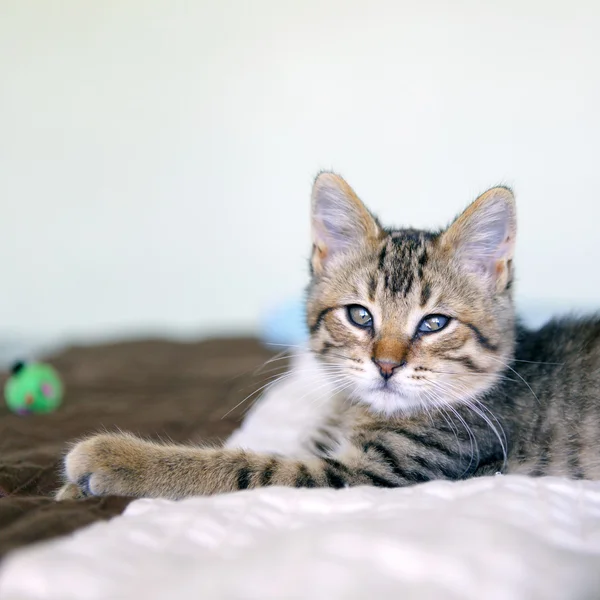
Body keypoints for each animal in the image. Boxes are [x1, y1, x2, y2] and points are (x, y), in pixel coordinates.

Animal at [56, 171, 600, 500]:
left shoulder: (383, 474)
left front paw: (116, 459)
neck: (360, 410)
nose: (386, 365)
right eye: (360, 316)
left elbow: (250, 468)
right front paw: (72, 491)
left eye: (433, 323)